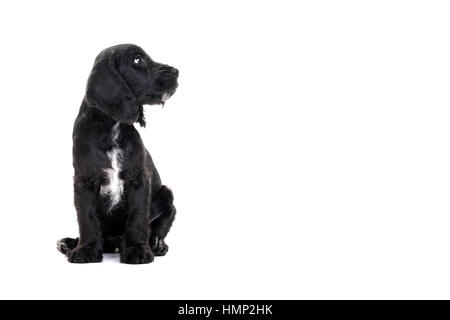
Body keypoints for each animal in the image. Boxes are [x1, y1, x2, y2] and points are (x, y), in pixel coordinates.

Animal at [55, 43, 178, 264]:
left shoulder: (139, 179)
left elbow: (137, 218)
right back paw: (70, 243)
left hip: (167, 196)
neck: (111, 127)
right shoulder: (84, 181)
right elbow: (87, 218)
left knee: (157, 228)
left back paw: (156, 244)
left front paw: (138, 250)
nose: (176, 71)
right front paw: (85, 250)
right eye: (138, 60)